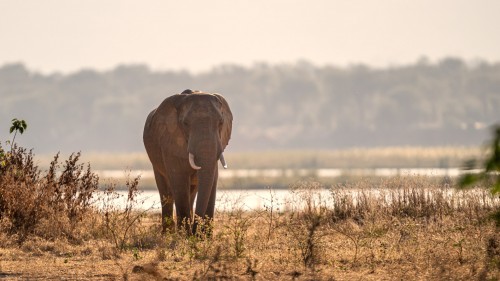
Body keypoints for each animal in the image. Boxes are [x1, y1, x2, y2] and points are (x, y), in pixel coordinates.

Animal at [143, 89, 232, 234]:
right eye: (185, 124)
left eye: (220, 122)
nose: (196, 232)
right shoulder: (170, 142)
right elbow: (179, 181)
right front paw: (185, 235)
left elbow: (212, 179)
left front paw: (204, 236)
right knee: (166, 192)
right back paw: (168, 233)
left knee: (191, 192)